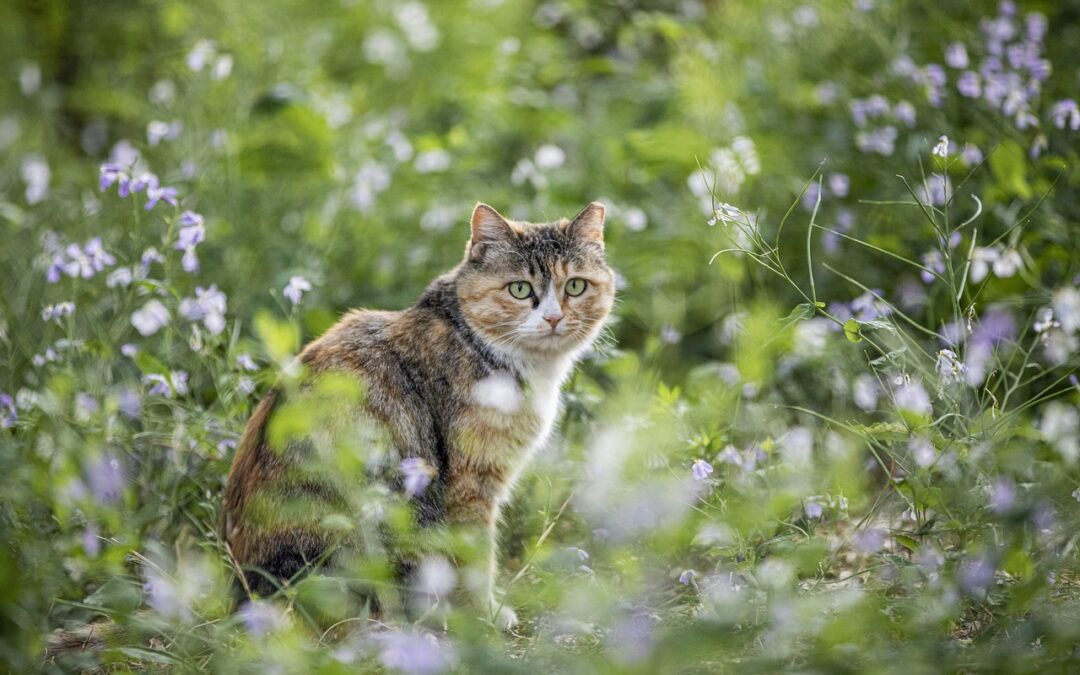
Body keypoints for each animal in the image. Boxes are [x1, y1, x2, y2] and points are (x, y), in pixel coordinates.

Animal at [219, 198, 617, 626]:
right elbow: (475, 556)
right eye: (520, 289)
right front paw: (483, 616)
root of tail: (248, 595)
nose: (554, 318)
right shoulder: (470, 482)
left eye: (575, 285)